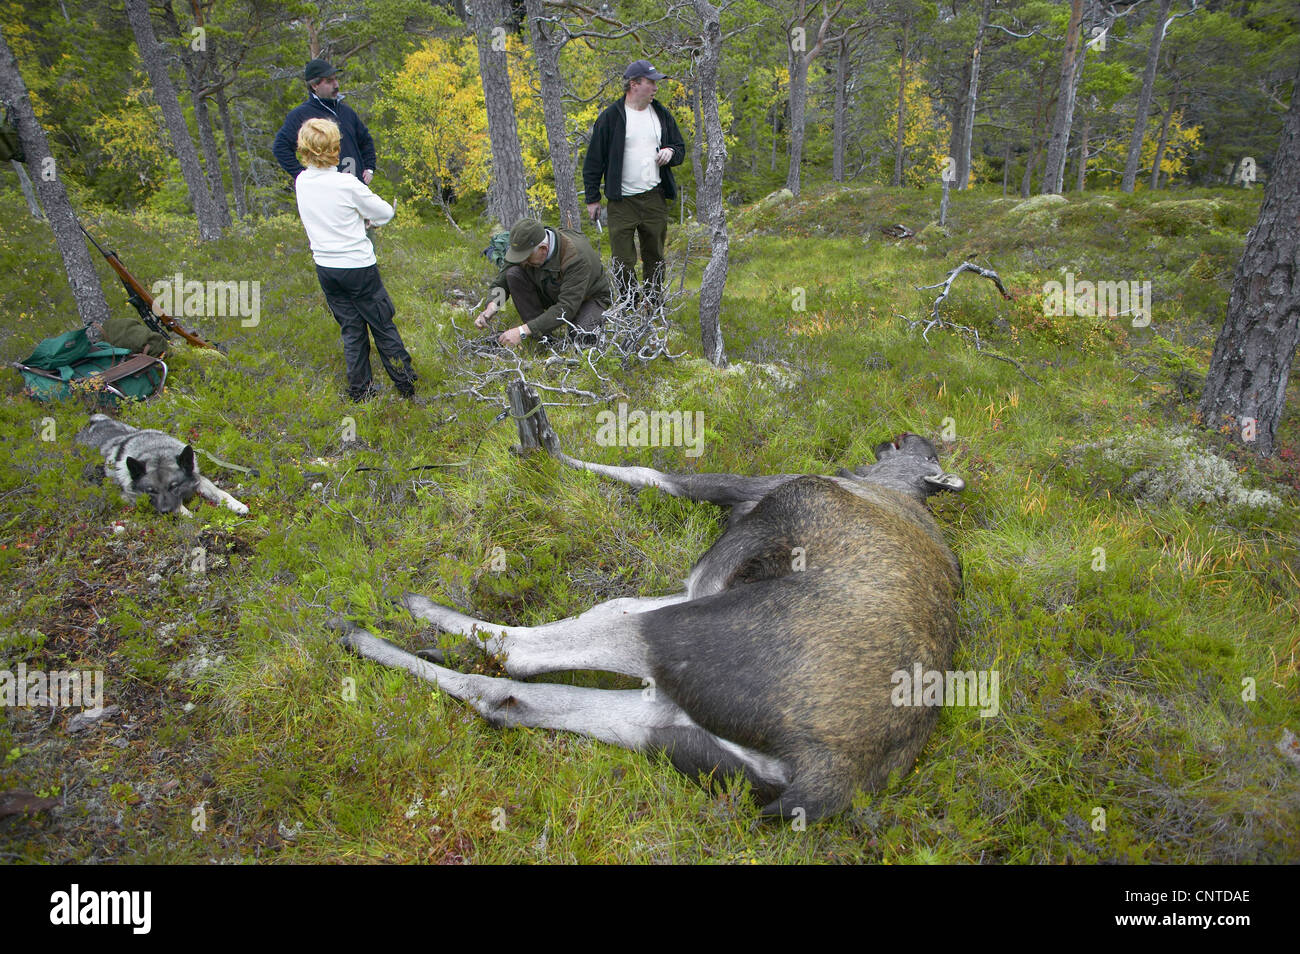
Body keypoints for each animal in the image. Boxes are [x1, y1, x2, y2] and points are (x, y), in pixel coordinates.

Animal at [76, 415, 248, 519]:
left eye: (174, 486)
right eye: (151, 491)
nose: (165, 512)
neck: (156, 452)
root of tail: (94, 423)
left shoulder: (198, 478)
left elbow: (220, 491)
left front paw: (236, 504)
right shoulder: (132, 497)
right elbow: (178, 506)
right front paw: (188, 516)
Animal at [335, 434, 967, 821]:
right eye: (925, 449)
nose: (904, 435)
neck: (895, 486)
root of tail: (829, 775)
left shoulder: (756, 506)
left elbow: (656, 476)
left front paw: (547, 450)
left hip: (684, 640)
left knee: (530, 652)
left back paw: (400, 619)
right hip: (674, 728)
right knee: (515, 697)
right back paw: (385, 636)